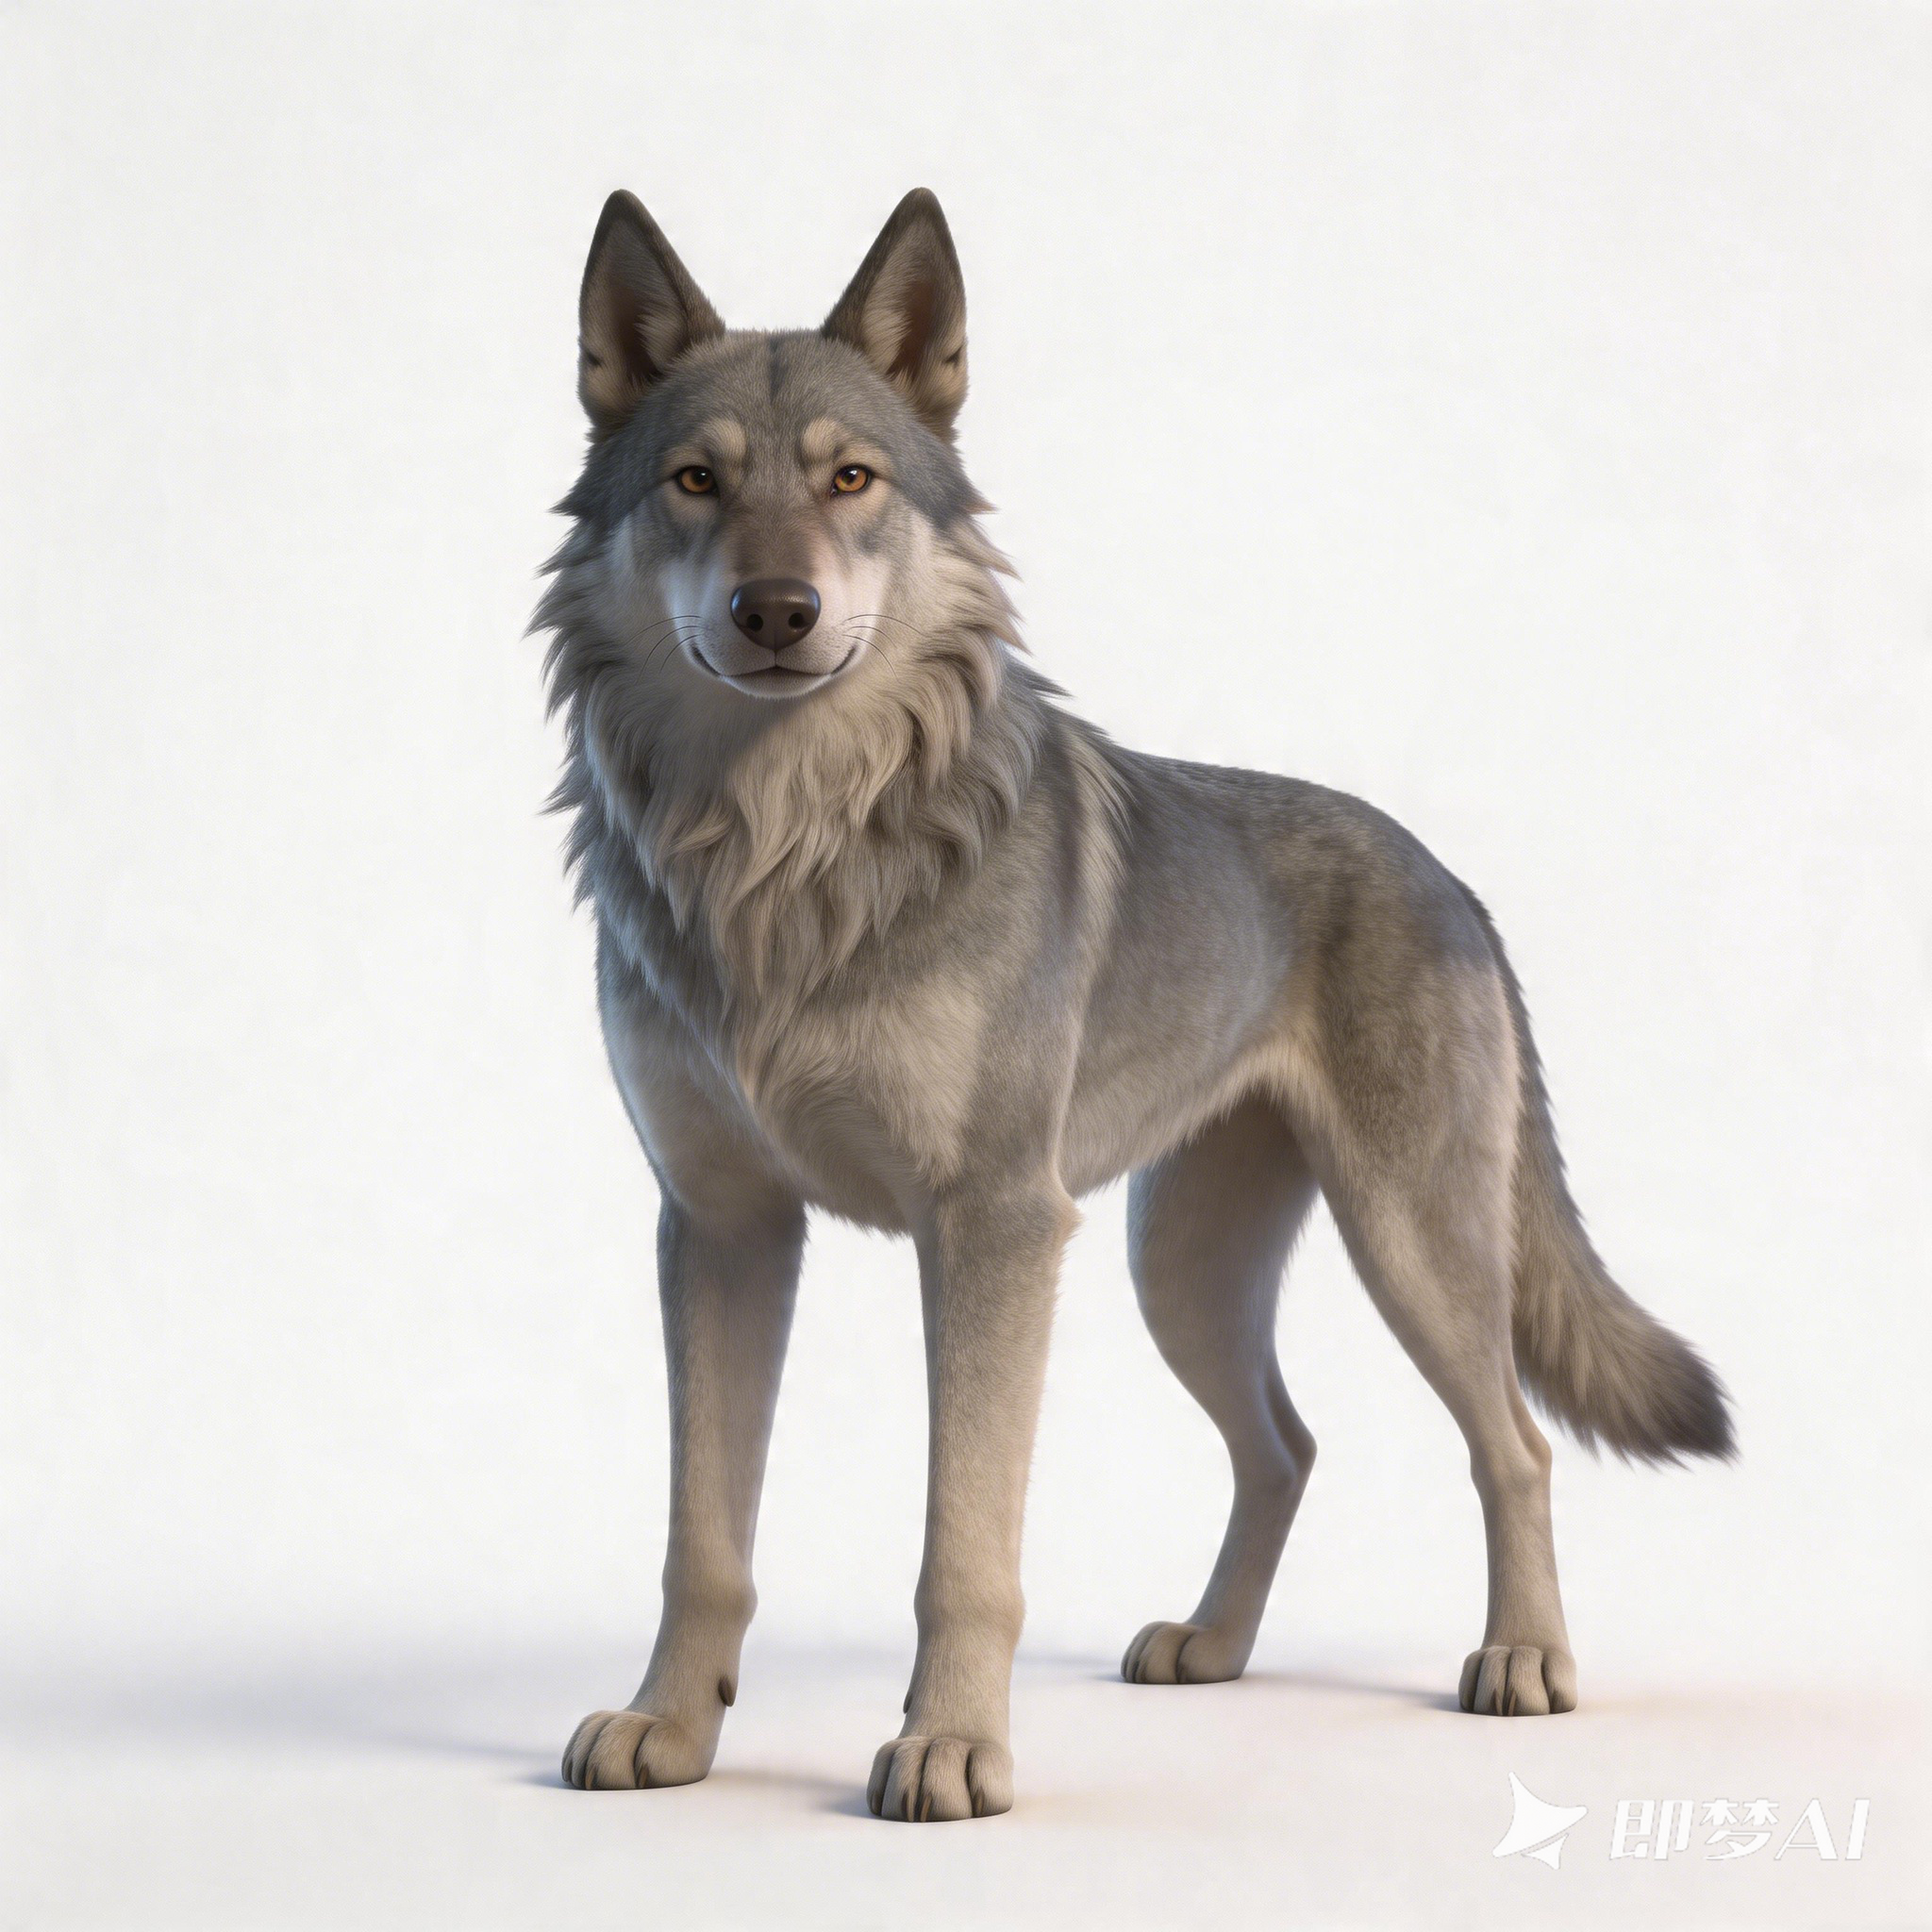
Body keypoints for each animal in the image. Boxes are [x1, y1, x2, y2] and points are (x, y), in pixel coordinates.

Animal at [535, 188, 1733, 1822]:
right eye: (695, 480)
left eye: (850, 479)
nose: (775, 609)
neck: (785, 849)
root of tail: (1451, 880)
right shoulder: (721, 1230)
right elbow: (703, 1542)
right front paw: (670, 1728)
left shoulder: (991, 1230)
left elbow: (964, 1546)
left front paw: (950, 1747)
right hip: (1181, 1272)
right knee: (1290, 1444)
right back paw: (1212, 1649)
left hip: (1405, 1249)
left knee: (1519, 1444)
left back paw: (1524, 1663)